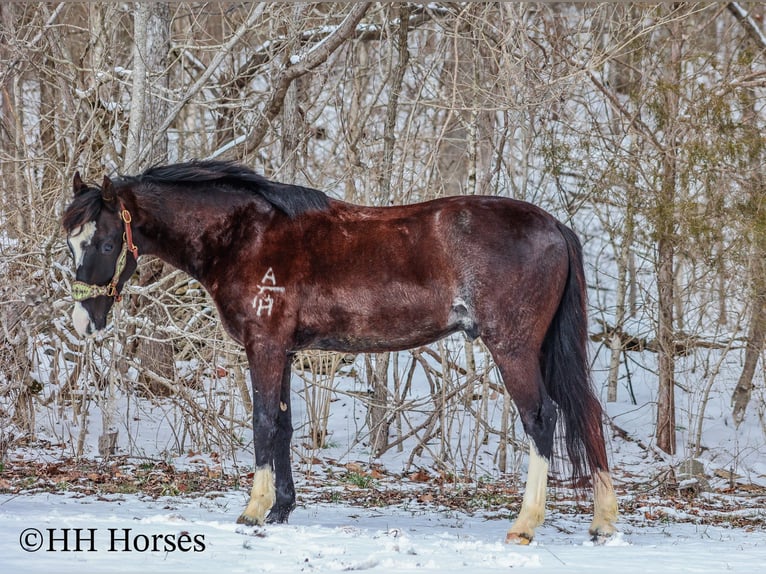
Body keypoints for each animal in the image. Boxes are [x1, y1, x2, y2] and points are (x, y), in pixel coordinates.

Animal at [63, 161, 620, 544]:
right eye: (72, 243)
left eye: (107, 242)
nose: (82, 321)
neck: (245, 236)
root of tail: (554, 226)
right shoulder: (285, 352)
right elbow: (284, 426)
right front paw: (281, 509)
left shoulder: (264, 347)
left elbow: (263, 423)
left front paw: (253, 510)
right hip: (544, 350)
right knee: (587, 413)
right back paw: (603, 522)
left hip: (514, 348)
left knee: (542, 419)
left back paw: (525, 524)